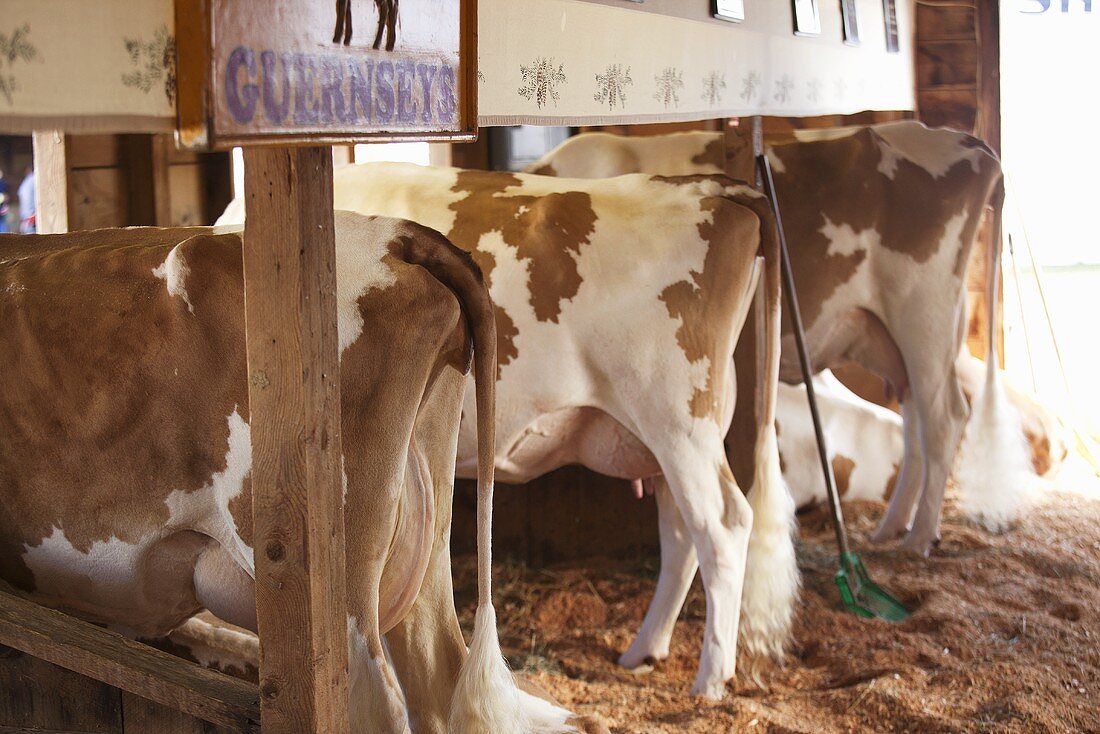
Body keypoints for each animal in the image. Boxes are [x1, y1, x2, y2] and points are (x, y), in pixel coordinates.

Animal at [216, 163, 800, 704]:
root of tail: (704, 184)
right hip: (669, 437)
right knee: (681, 535)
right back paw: (644, 650)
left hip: (678, 420)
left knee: (722, 526)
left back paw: (711, 677)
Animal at [519, 122, 1016, 556]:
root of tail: (961, 139)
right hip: (897, 337)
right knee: (914, 421)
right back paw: (892, 526)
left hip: (923, 313)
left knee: (944, 418)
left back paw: (919, 538)